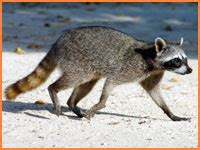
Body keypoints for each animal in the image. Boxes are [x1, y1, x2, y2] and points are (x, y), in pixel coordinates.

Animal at [4, 26, 192, 121]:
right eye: (177, 60)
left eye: (185, 59)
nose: (190, 70)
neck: (153, 60)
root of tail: (57, 42)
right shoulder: (127, 68)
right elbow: (111, 82)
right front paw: (101, 103)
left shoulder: (152, 74)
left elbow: (154, 93)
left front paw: (169, 112)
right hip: (75, 60)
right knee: (73, 79)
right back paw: (54, 91)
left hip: (87, 67)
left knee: (86, 84)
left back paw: (72, 104)